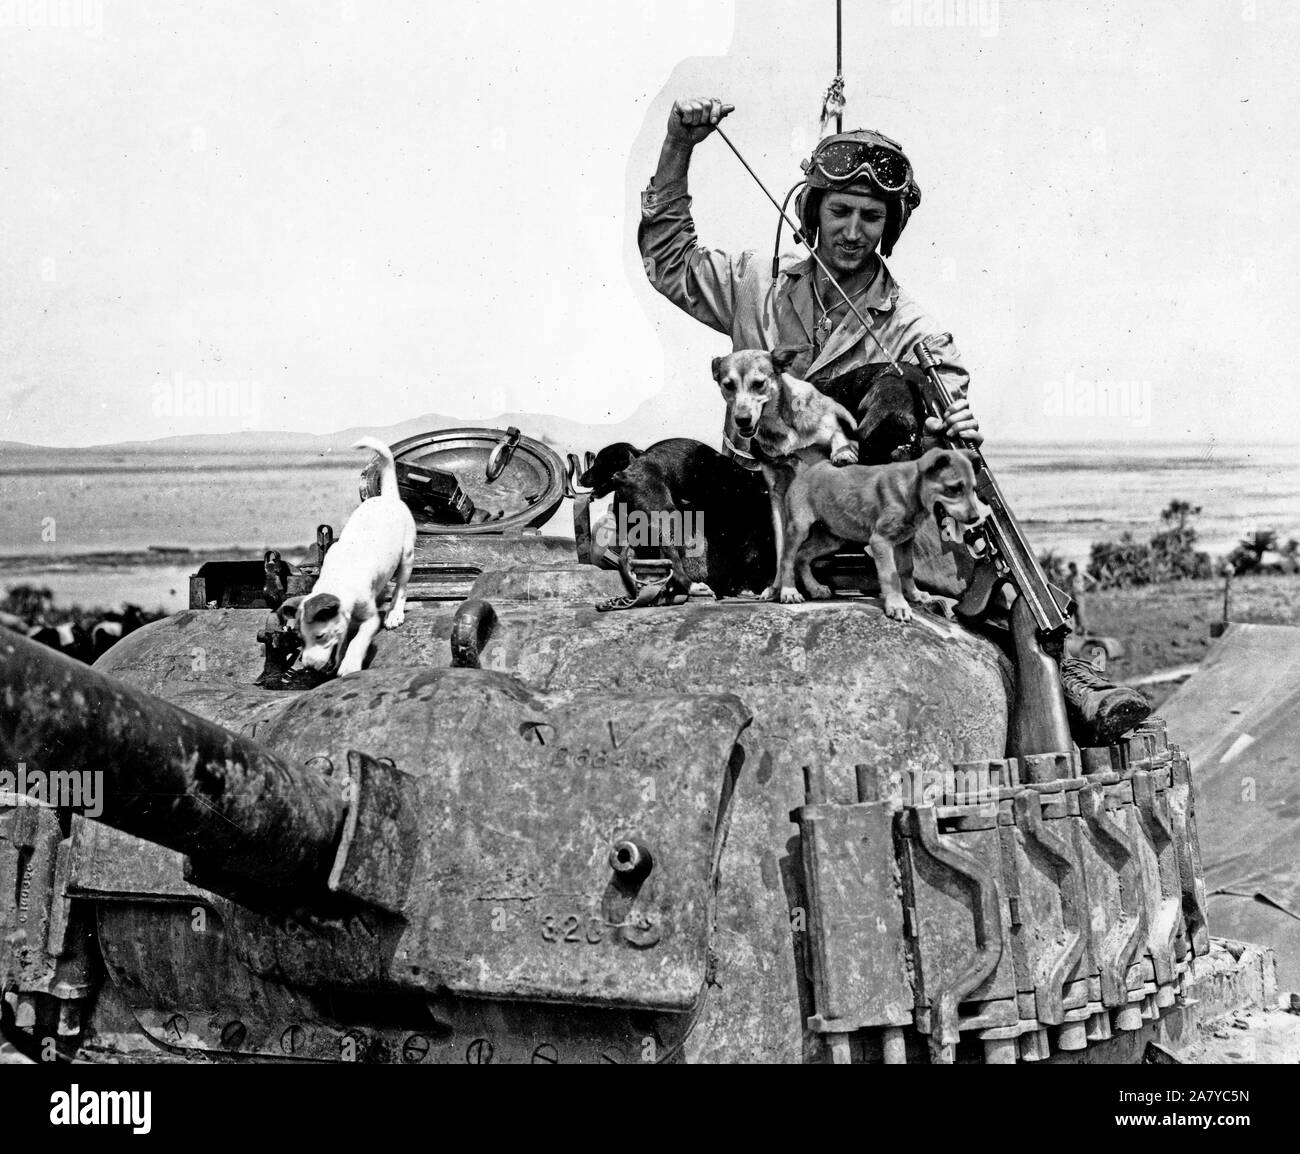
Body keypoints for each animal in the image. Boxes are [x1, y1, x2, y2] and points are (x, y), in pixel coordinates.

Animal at [280, 439, 416, 675]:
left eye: (320, 636)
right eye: (300, 639)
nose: (309, 667)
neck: (337, 581)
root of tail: (387, 497)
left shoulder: (370, 619)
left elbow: (358, 640)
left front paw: (350, 664)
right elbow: (344, 639)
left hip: (407, 556)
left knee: (401, 587)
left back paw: (394, 614)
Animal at [587, 431, 769, 595]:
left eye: (599, 463)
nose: (582, 478)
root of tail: (625, 474)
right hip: (668, 518)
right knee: (672, 560)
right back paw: (692, 586)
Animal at [712, 345, 863, 600]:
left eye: (759, 383)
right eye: (728, 385)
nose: (742, 420)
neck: (780, 424)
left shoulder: (837, 430)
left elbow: (838, 436)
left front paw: (842, 454)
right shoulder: (778, 493)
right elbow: (783, 553)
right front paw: (786, 589)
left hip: (836, 538)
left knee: (801, 555)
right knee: (797, 556)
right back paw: (791, 587)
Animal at [774, 447, 987, 618]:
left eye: (973, 489)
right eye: (954, 488)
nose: (976, 518)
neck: (910, 491)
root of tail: (806, 470)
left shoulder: (906, 540)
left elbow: (907, 569)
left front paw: (914, 594)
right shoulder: (880, 541)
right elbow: (891, 575)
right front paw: (898, 605)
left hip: (832, 539)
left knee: (802, 556)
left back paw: (815, 587)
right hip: (799, 528)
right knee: (787, 558)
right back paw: (789, 591)